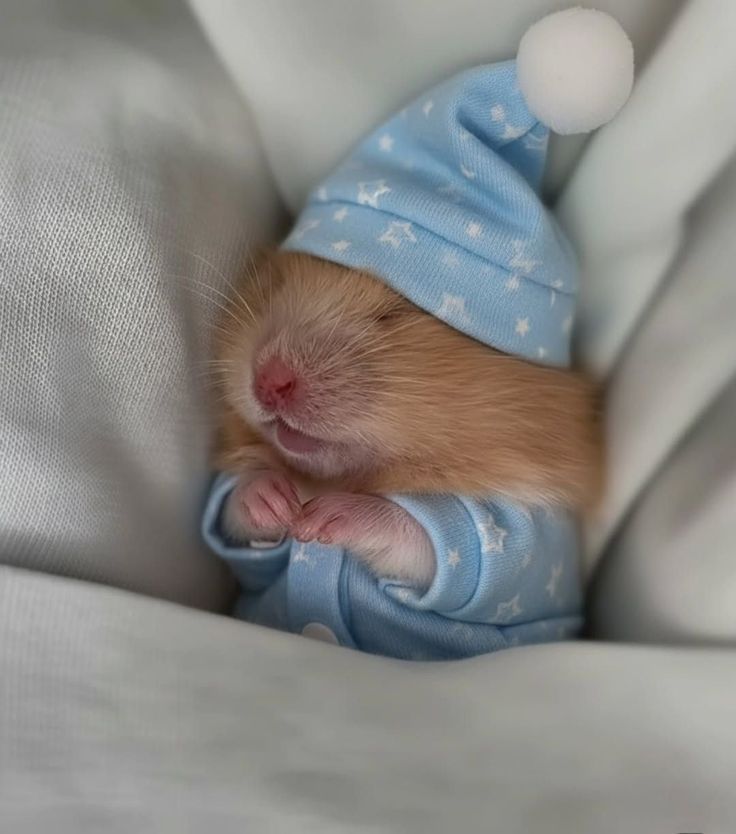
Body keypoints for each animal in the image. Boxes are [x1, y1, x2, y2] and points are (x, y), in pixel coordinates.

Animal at [211, 249, 602, 585]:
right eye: (275, 285)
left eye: (392, 314)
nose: (269, 381)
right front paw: (275, 501)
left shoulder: (523, 548)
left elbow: (421, 533)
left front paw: (319, 519)